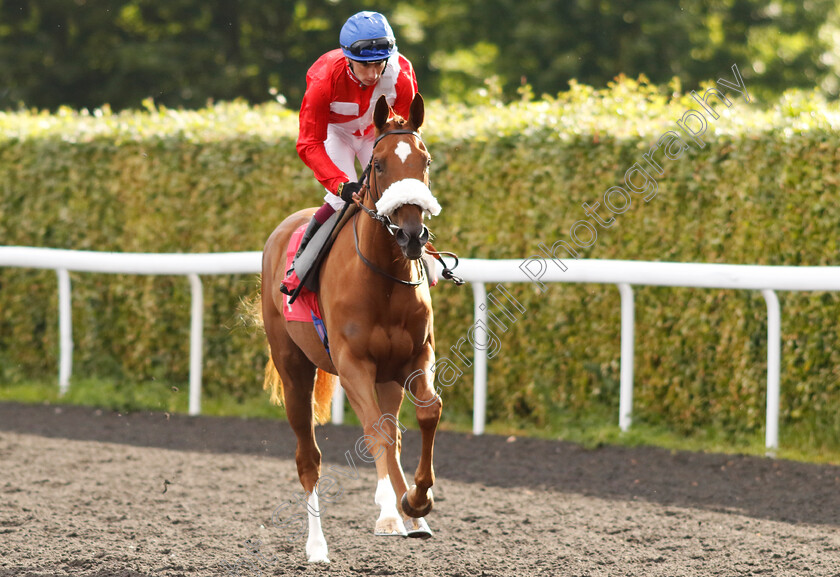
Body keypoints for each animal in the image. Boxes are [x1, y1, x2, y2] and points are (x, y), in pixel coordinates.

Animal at [260, 94, 442, 564]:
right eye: (377, 165)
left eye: (425, 160)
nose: (412, 234)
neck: (383, 279)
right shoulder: (353, 362)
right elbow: (375, 432)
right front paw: (403, 508)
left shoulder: (416, 356)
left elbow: (425, 414)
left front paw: (416, 503)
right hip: (294, 371)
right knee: (309, 458)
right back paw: (317, 546)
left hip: (387, 377)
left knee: (393, 433)